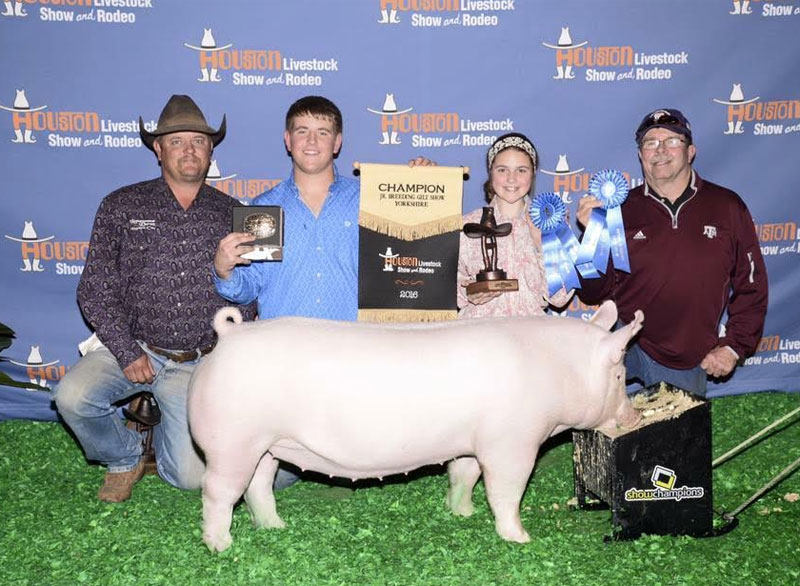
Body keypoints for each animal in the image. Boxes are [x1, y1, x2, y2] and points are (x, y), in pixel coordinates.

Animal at [188, 300, 643, 552]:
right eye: (620, 374)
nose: (635, 415)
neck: (558, 368)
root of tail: (227, 337)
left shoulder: (471, 441)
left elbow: (464, 475)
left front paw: (461, 512)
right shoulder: (511, 442)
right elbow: (506, 491)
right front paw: (520, 538)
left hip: (266, 444)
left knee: (257, 487)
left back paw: (275, 527)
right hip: (232, 441)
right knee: (218, 492)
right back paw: (220, 546)